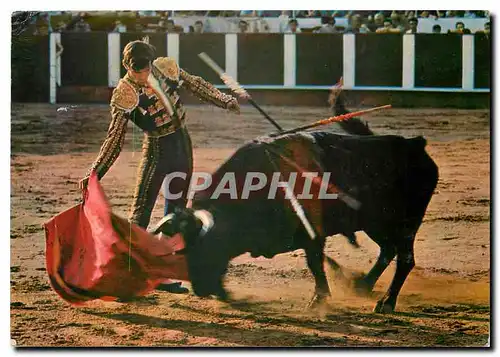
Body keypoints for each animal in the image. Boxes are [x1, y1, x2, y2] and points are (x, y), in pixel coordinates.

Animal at [153, 92, 438, 312]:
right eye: (180, 250)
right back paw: (363, 286)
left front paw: (318, 301)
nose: (199, 289)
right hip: (375, 223)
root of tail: (415, 145)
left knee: (405, 259)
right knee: (388, 250)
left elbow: (315, 263)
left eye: (206, 246)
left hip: (404, 224)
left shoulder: (312, 233)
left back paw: (386, 303)